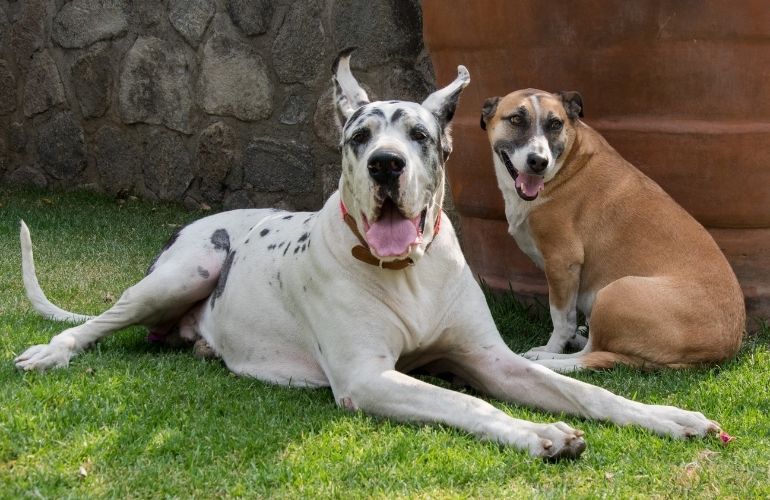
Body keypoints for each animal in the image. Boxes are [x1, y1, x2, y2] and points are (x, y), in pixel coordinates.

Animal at [480, 89, 744, 372]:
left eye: (555, 124)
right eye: (516, 119)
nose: (539, 162)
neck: (568, 163)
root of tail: (718, 352)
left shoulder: (562, 263)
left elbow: (561, 319)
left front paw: (551, 348)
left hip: (615, 293)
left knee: (590, 355)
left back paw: (547, 360)